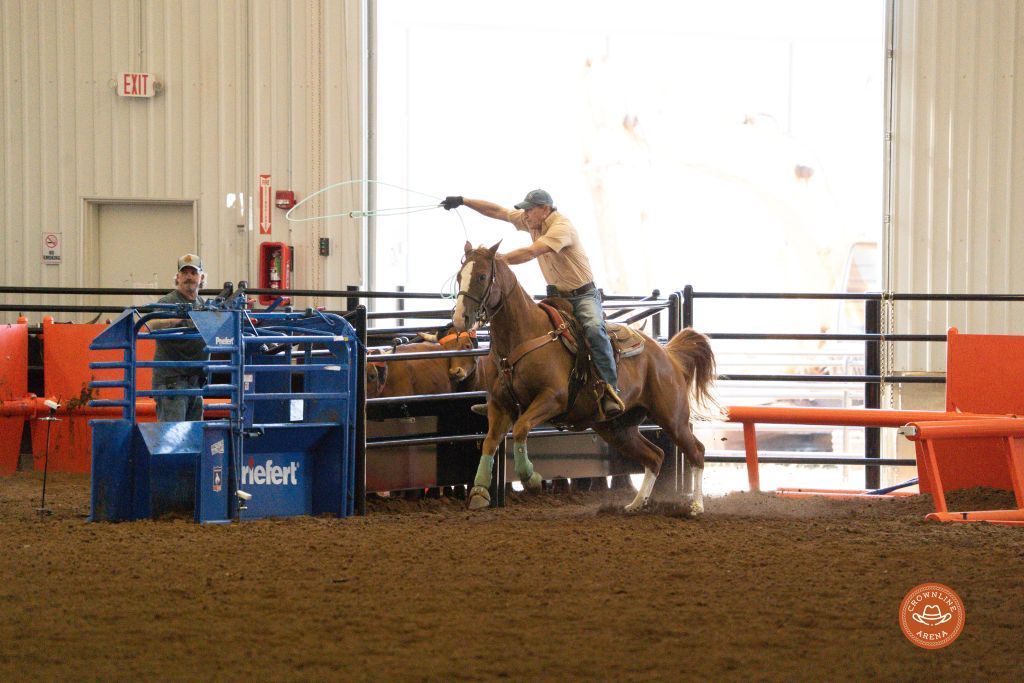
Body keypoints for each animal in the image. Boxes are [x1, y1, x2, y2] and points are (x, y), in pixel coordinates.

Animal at [452, 241, 717, 513]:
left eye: (482, 276)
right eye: (460, 276)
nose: (460, 318)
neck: (523, 336)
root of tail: (667, 354)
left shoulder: (553, 398)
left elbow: (521, 427)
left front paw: (530, 477)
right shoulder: (500, 404)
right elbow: (490, 441)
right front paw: (479, 492)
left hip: (672, 417)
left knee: (696, 451)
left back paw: (696, 505)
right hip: (617, 429)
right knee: (655, 456)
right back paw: (635, 504)